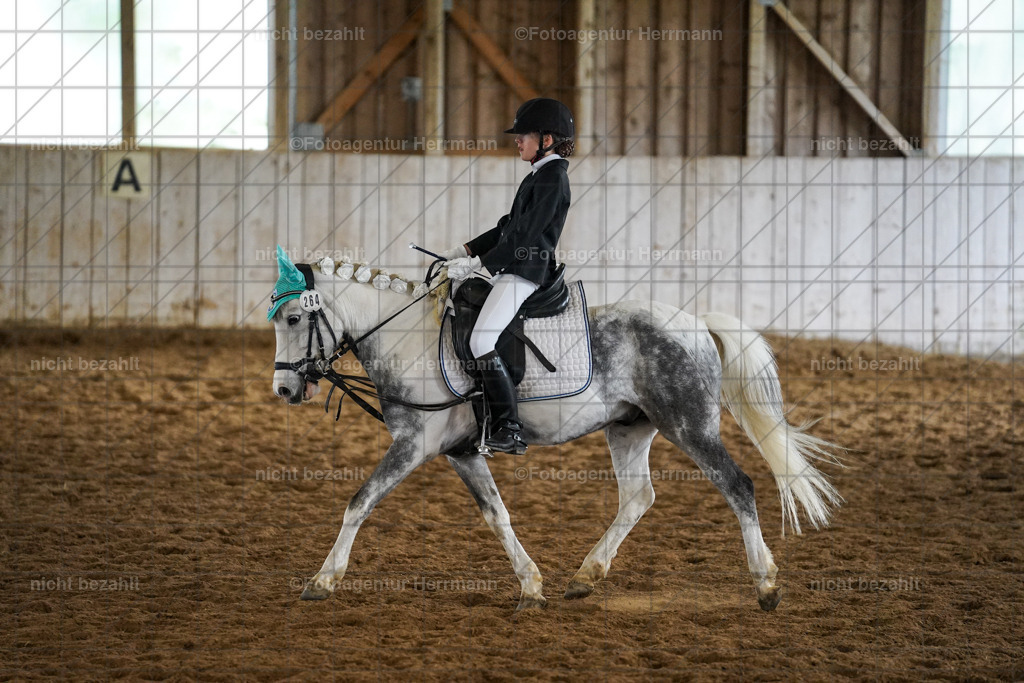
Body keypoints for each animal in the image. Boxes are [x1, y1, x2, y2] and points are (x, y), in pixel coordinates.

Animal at [269, 247, 842, 612]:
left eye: (295, 319)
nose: (284, 390)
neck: (407, 337)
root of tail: (696, 323)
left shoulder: (414, 445)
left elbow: (359, 501)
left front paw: (322, 581)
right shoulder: (462, 452)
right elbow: (497, 516)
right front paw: (531, 586)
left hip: (690, 425)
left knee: (738, 485)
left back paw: (766, 586)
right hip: (629, 429)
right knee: (638, 497)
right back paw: (585, 578)